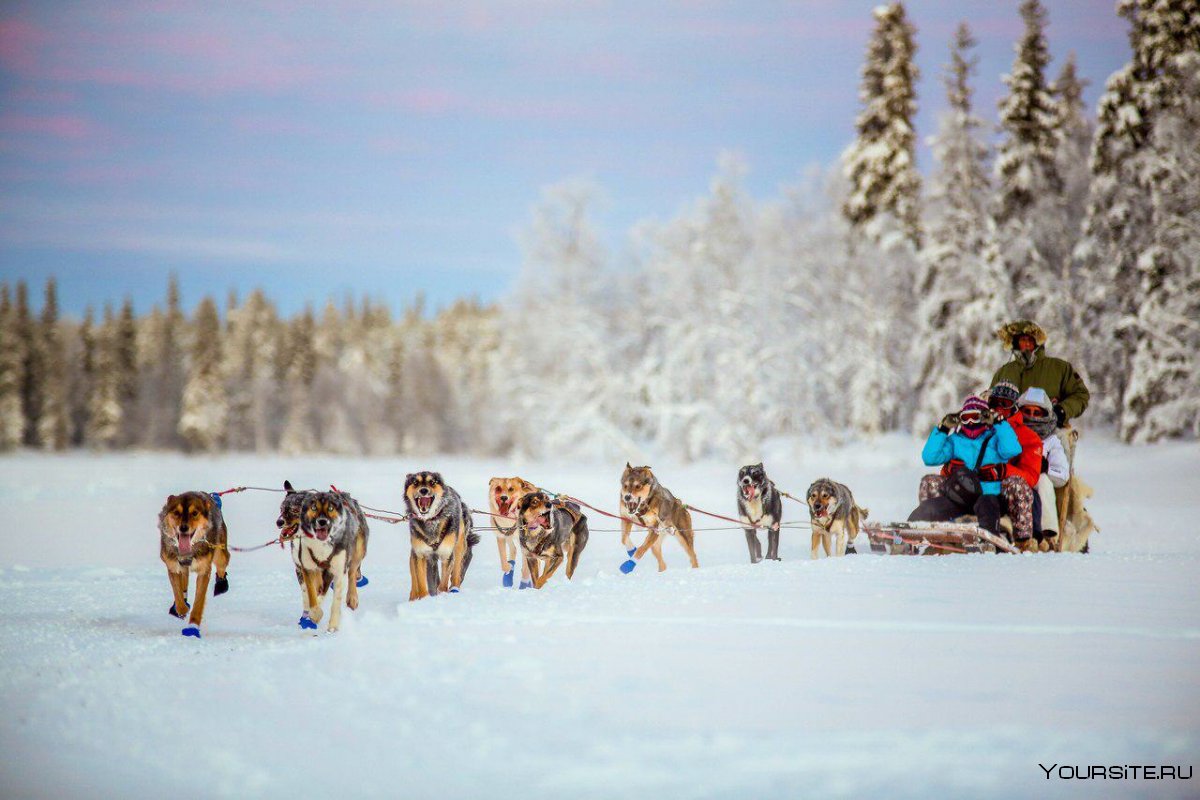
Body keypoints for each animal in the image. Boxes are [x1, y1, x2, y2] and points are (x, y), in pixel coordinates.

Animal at [158, 489, 230, 638]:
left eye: (195, 513)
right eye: (176, 512)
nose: (183, 528)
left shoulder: (204, 570)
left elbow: (199, 601)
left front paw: (193, 626)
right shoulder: (173, 566)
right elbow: (177, 593)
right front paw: (181, 609)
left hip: (220, 552)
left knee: (222, 565)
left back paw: (221, 584)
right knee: (184, 580)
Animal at [292, 489, 367, 633]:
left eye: (330, 508)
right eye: (314, 507)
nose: (322, 521)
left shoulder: (334, 570)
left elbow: (329, 597)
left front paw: (331, 626)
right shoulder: (307, 568)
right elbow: (312, 596)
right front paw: (314, 614)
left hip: (356, 554)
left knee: (352, 574)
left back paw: (352, 598)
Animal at [403, 470, 477, 599]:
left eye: (432, 482)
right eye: (415, 482)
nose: (423, 490)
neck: (431, 521)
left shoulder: (447, 554)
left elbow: (443, 582)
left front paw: (441, 593)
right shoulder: (420, 555)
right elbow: (421, 582)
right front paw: (424, 598)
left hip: (459, 546)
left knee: (456, 573)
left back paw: (454, 588)